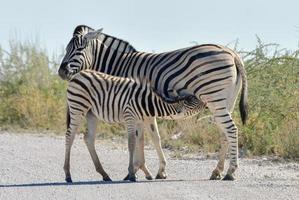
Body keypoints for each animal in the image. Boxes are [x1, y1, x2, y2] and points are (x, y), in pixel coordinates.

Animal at [65, 69, 206, 182]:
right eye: (191, 101)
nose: (205, 102)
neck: (147, 103)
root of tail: (78, 74)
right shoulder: (130, 118)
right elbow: (132, 143)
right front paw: (132, 174)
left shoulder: (140, 121)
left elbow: (141, 142)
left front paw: (144, 172)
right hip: (78, 107)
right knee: (69, 136)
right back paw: (68, 175)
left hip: (91, 114)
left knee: (88, 138)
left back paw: (104, 174)